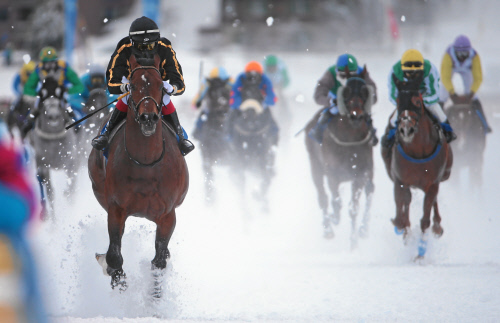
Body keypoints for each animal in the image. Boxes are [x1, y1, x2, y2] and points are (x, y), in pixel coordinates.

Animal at [28, 77, 78, 218]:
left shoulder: (71, 160)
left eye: (60, 93)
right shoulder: (43, 163)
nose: (53, 116)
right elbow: (50, 193)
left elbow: (71, 186)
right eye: (41, 94)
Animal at [88, 54, 189, 292]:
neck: (146, 163)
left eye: (160, 84)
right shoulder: (116, 209)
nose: (148, 118)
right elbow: (114, 257)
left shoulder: (167, 215)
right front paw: (118, 281)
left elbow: (159, 261)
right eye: (132, 85)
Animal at [304, 76, 376, 248]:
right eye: (346, 93)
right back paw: (328, 229)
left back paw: (362, 229)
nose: (356, 115)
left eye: (364, 92)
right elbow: (335, 201)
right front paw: (334, 217)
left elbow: (354, 207)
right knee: (323, 197)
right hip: (315, 167)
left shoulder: (360, 174)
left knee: (370, 190)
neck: (349, 139)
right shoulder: (332, 173)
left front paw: (354, 241)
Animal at [382, 78, 454, 258]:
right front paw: (400, 227)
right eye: (398, 101)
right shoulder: (400, 180)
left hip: (442, 176)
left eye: (417, 101)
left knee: (432, 203)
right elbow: (401, 213)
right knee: (406, 203)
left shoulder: (433, 182)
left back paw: (437, 227)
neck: (418, 150)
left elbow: (425, 219)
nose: (406, 129)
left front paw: (420, 253)